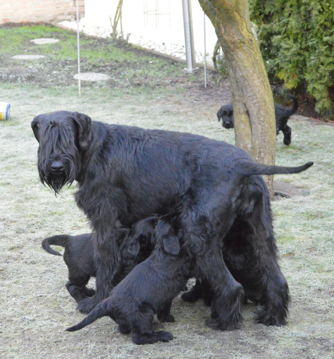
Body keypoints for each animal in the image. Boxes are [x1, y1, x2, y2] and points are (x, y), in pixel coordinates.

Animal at [32, 110, 314, 332]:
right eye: (45, 137)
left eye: (67, 137)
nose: (55, 166)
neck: (93, 148)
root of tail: (245, 165)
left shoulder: (106, 224)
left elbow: (105, 266)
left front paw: (95, 302)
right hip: (259, 232)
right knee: (276, 278)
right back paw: (271, 317)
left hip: (200, 237)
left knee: (232, 286)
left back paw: (222, 323)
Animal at [66, 217, 193, 346]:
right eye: (155, 224)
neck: (162, 251)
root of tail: (108, 303)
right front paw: (169, 319)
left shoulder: (165, 298)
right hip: (143, 314)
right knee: (138, 337)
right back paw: (163, 335)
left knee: (123, 329)